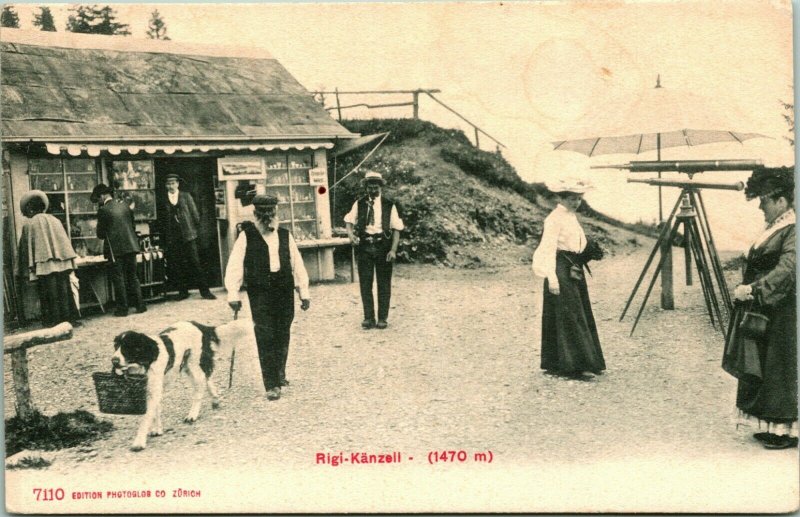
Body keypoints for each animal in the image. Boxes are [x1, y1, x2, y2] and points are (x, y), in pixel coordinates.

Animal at [111, 320, 227, 450]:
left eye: (128, 347)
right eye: (116, 346)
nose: (114, 361)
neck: (145, 363)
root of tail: (196, 324)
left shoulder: (153, 391)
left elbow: (146, 418)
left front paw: (139, 442)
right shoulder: (152, 391)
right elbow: (155, 411)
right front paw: (157, 429)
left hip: (194, 365)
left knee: (199, 389)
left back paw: (192, 415)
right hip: (189, 366)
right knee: (207, 378)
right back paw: (215, 399)